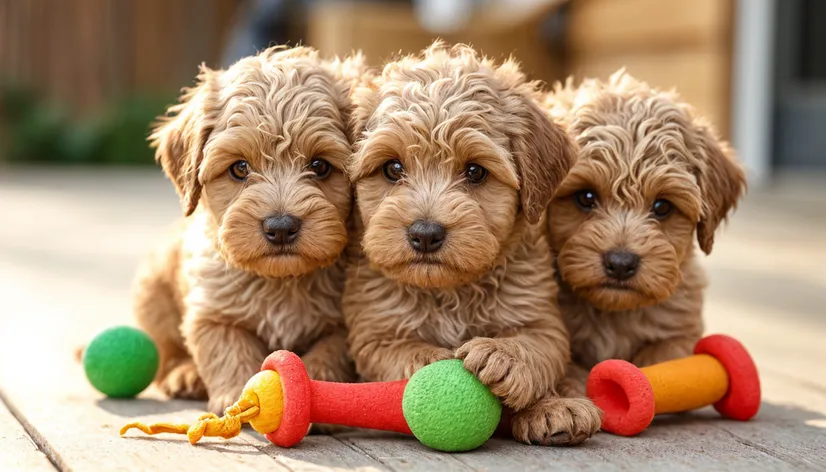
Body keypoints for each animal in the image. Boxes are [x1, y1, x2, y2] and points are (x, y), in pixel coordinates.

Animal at [134, 47, 362, 412]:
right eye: (240, 168)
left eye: (320, 166)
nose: (281, 227)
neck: (280, 283)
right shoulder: (213, 313)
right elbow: (228, 350)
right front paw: (239, 399)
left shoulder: (344, 324)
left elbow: (329, 354)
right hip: (152, 293)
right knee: (165, 354)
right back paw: (185, 374)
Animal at [342, 43, 600, 446]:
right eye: (392, 169)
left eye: (476, 171)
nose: (425, 233)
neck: (451, 292)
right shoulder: (374, 330)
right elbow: (399, 351)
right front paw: (429, 362)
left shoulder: (539, 318)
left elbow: (537, 348)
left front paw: (525, 377)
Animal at [536, 69, 744, 398]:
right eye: (585, 197)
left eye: (662, 206)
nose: (621, 264)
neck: (615, 313)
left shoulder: (680, 331)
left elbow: (666, 359)